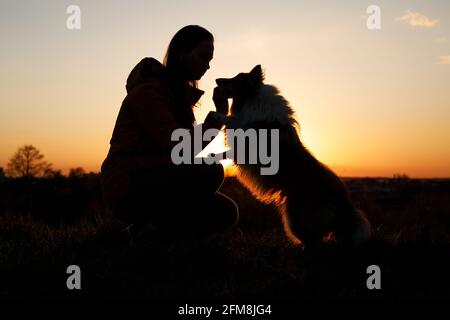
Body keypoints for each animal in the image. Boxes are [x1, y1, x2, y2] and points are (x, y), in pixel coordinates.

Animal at [209, 64, 370, 250]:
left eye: (237, 79)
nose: (216, 80)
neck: (253, 98)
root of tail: (344, 203)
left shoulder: (247, 142)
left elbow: (233, 124)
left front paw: (215, 118)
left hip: (295, 216)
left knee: (313, 241)